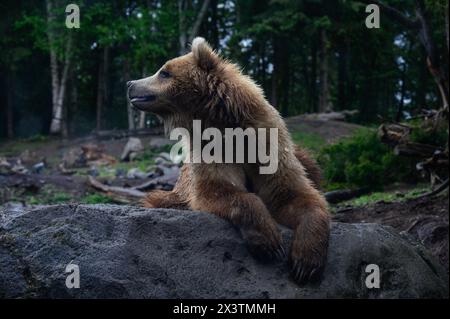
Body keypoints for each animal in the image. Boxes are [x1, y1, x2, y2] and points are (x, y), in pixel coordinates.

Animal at [127, 37, 330, 284]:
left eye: (164, 72)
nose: (130, 83)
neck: (227, 127)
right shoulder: (211, 152)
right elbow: (221, 191)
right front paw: (269, 242)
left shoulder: (268, 147)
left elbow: (296, 195)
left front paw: (305, 264)